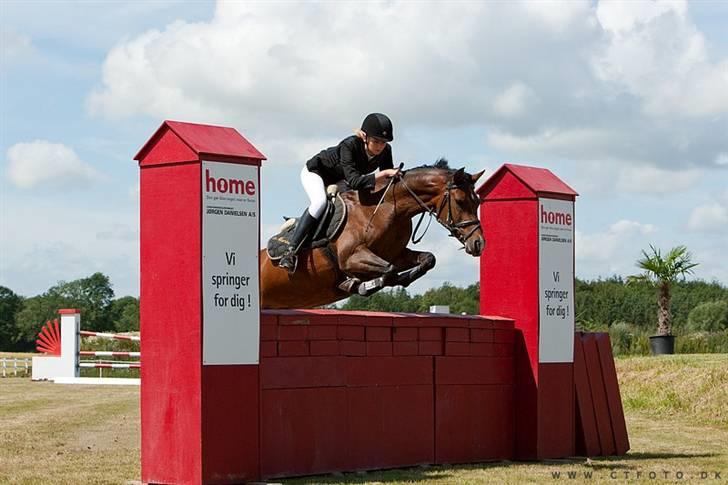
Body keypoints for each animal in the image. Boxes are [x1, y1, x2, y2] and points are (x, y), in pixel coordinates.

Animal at [258, 161, 486, 308]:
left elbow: (427, 259)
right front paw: (358, 285)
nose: (479, 243)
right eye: (460, 202)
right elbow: (389, 270)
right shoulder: (351, 258)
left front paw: (399, 280)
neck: (388, 208)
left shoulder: (396, 254)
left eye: (478, 202)